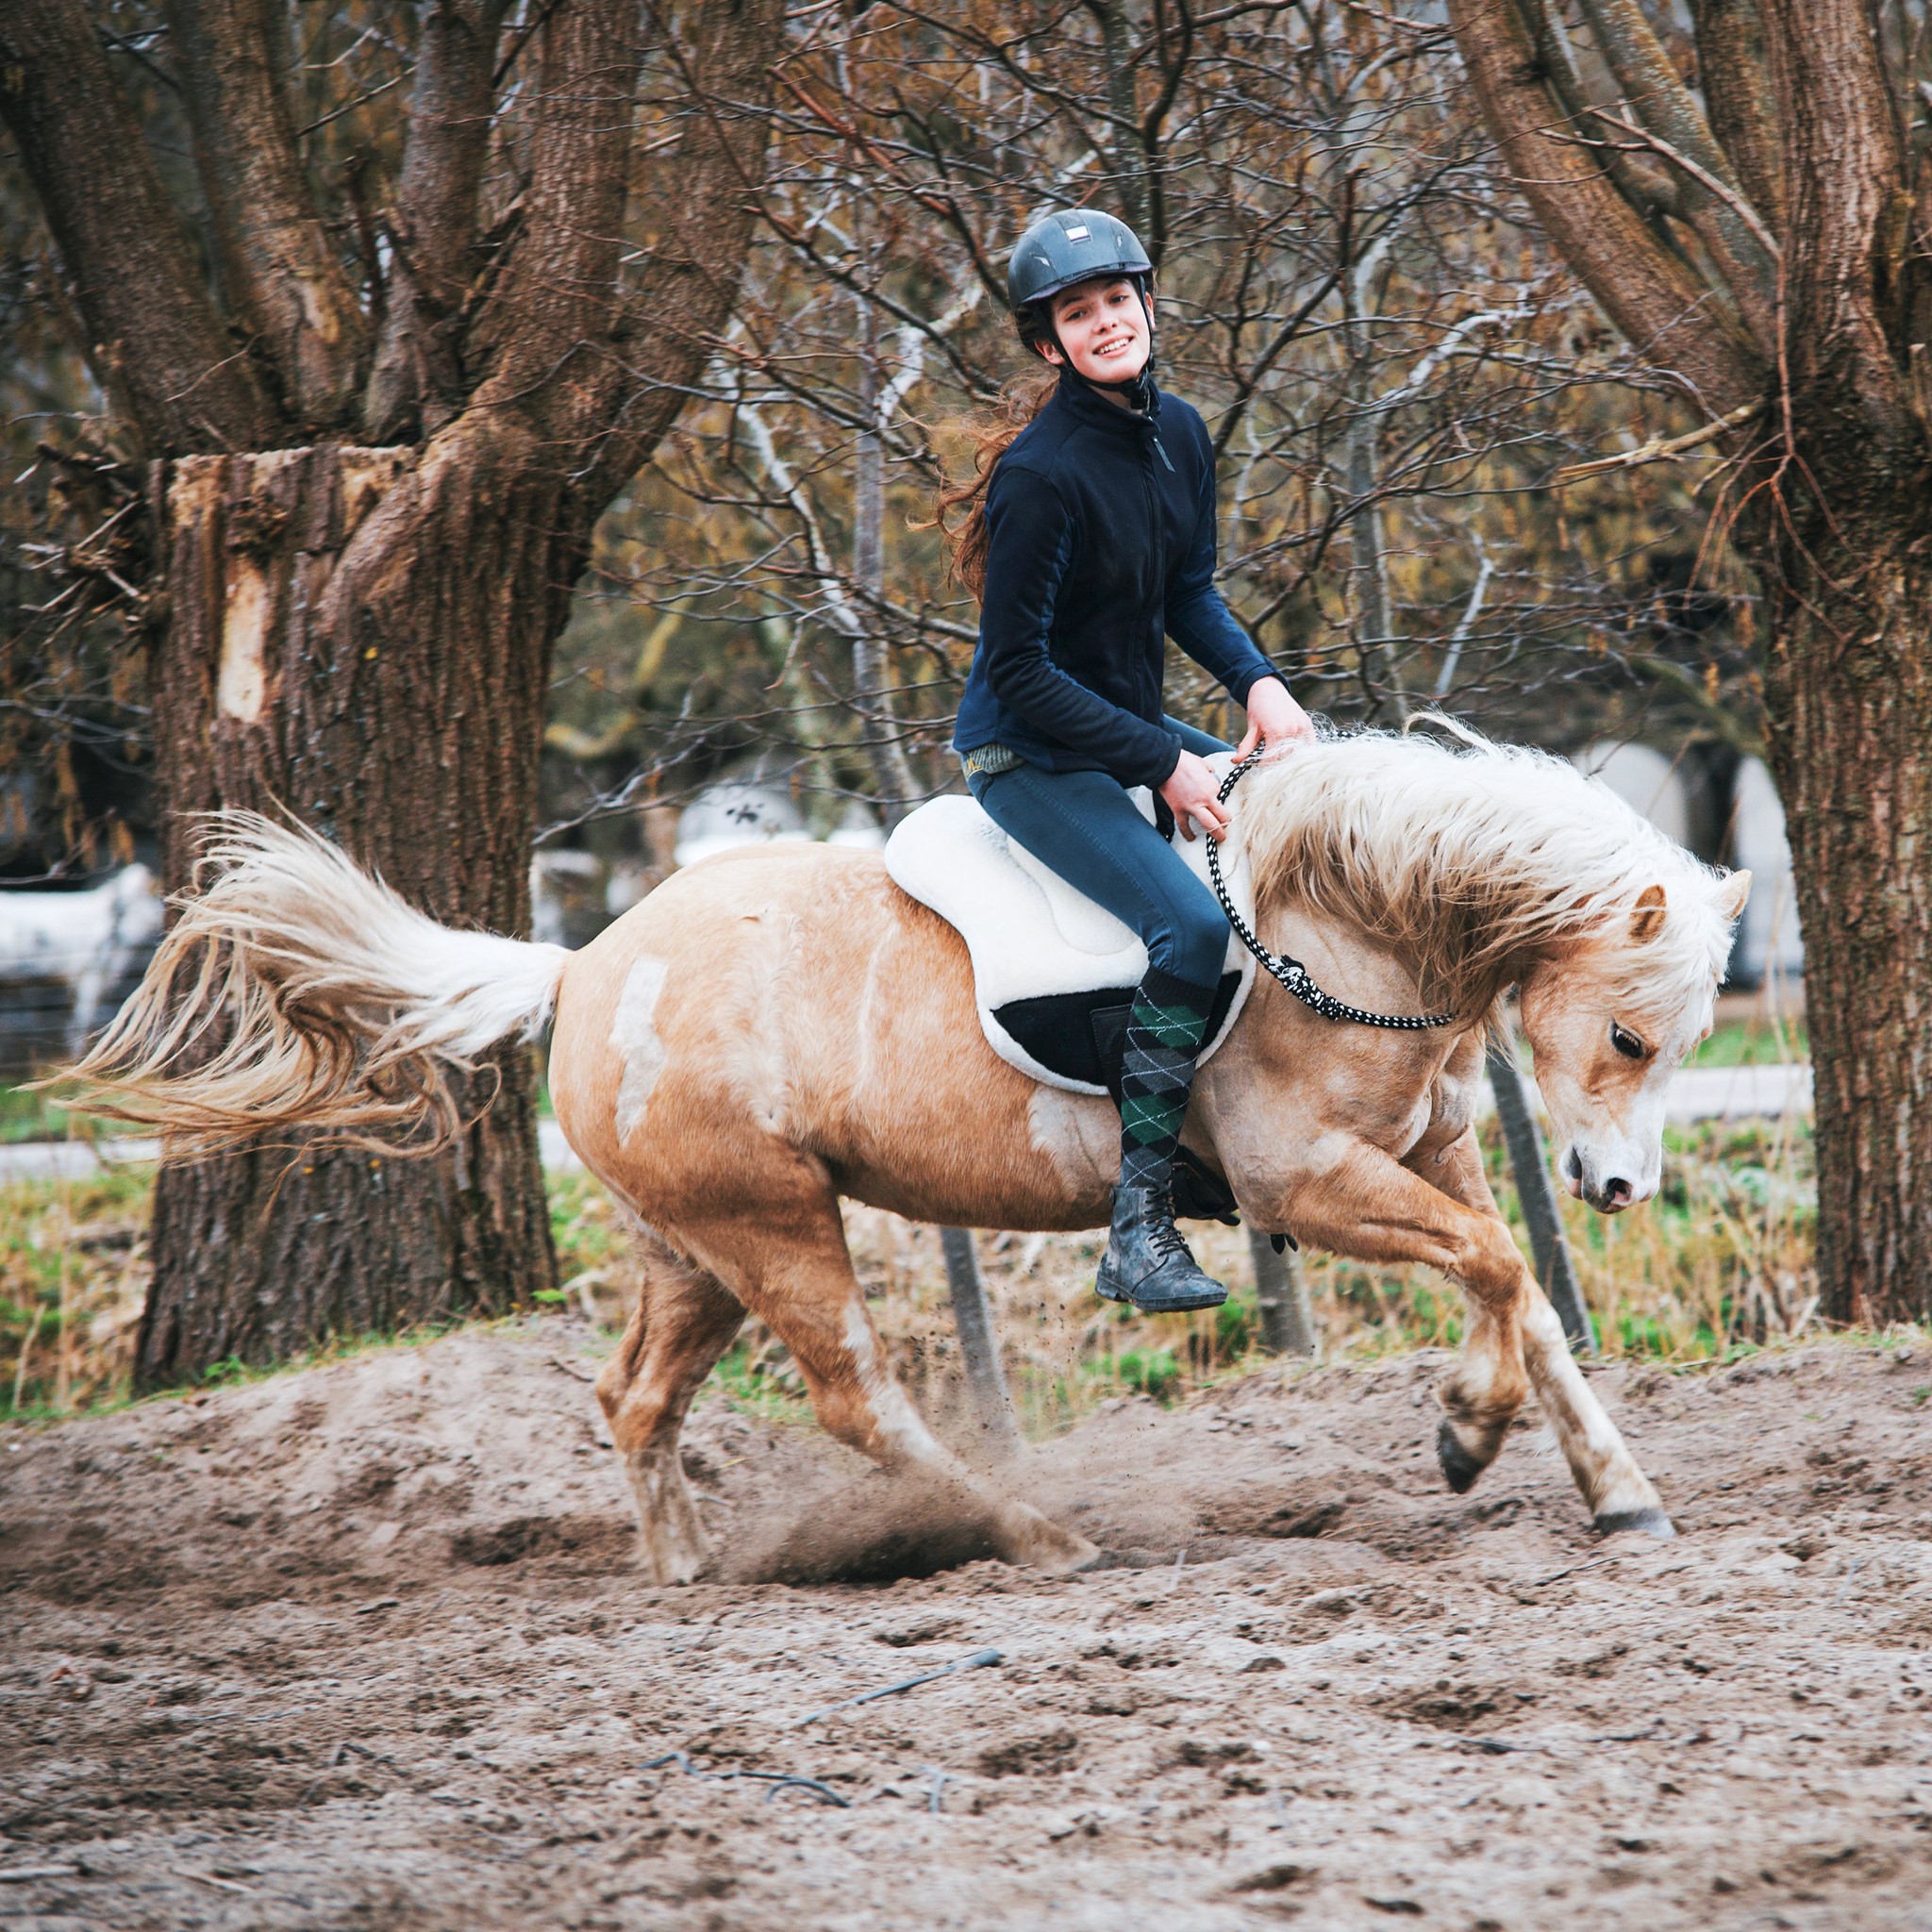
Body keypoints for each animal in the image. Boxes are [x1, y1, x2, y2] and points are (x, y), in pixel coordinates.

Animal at [72, 728, 1749, 1583]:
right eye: (1630, 1037)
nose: (1620, 1191)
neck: (1342, 916)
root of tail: (585, 964)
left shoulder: (1433, 1156)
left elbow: (1523, 1294)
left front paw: (1614, 1492)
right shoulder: (1311, 1187)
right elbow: (1499, 1275)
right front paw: (1466, 1432)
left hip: (697, 1249)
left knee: (637, 1400)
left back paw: (687, 1572)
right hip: (775, 1230)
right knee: (855, 1400)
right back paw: (1041, 1538)